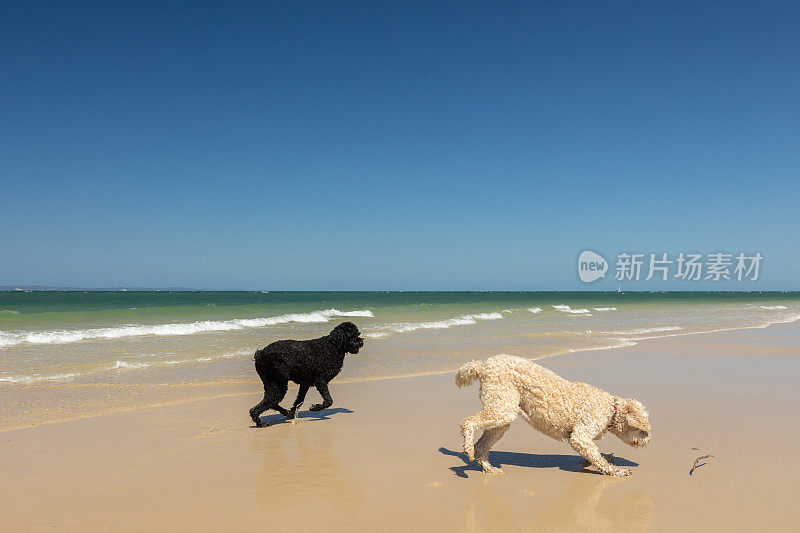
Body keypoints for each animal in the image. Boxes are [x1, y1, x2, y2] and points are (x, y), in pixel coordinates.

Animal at [456, 356, 648, 476]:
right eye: (644, 431)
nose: (648, 441)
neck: (611, 409)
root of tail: (483, 365)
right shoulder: (581, 435)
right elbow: (597, 458)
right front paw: (617, 470)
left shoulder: (580, 439)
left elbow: (592, 455)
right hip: (502, 410)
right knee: (468, 422)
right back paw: (468, 450)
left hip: (502, 418)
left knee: (482, 446)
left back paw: (488, 467)